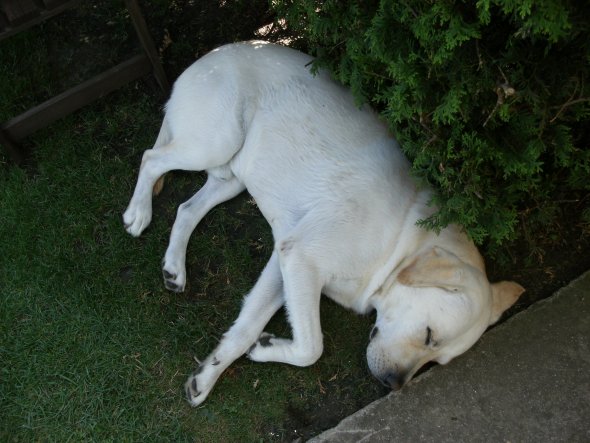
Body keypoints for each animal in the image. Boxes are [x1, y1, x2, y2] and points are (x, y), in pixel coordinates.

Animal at [122, 40, 524, 408]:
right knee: (151, 158)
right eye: (429, 336)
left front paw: (213, 373)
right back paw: (138, 212)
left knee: (186, 208)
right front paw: (266, 348)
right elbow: (311, 347)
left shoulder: (284, 257)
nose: (393, 384)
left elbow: (245, 329)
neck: (400, 244)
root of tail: (213, 53)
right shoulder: (300, 256)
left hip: (232, 175)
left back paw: (174, 267)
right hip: (215, 142)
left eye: (437, 361)